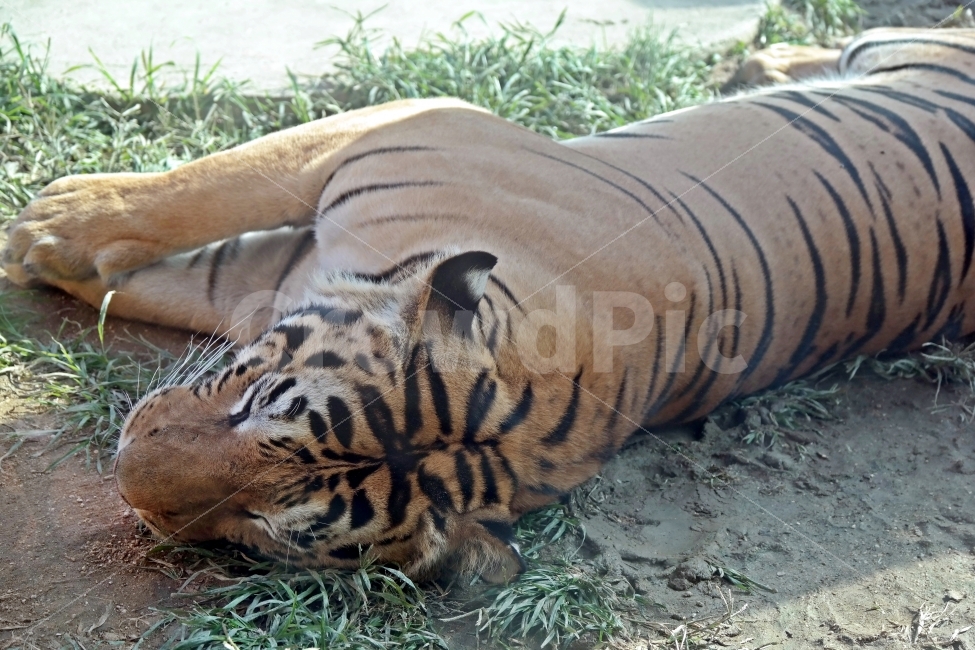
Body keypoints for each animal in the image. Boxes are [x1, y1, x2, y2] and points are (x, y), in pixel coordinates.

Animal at [3, 27, 975, 582]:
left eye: (261, 526)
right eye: (254, 402)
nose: (123, 476)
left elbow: (181, 254)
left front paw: (42, 237)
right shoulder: (397, 121)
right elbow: (205, 192)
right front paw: (53, 226)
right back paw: (762, 58)